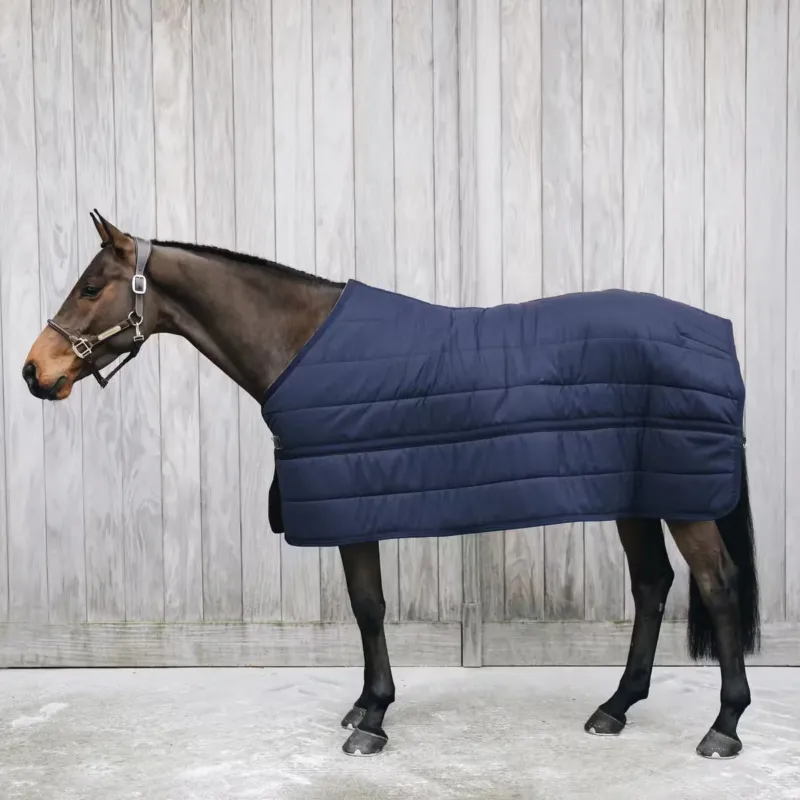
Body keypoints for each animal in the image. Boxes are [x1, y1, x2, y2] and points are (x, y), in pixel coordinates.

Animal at [23, 211, 759, 760]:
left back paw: (723, 727)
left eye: (91, 288)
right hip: (639, 493)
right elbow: (365, 607)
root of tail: (717, 335)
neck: (303, 343)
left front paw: (373, 718)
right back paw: (614, 708)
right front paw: (363, 707)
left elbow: (369, 607)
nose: (34, 370)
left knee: (718, 586)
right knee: (652, 585)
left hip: (679, 501)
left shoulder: (352, 504)